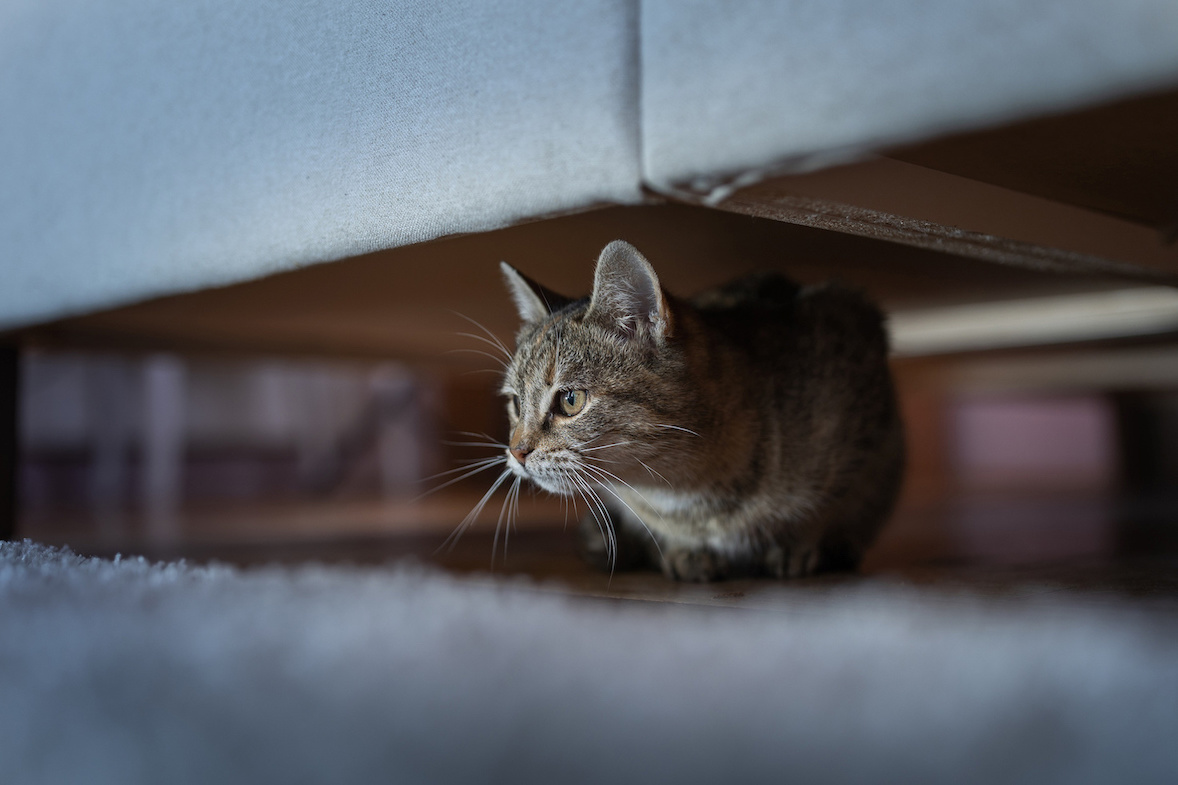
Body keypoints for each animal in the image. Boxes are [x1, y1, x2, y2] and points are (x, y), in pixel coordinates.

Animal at [494, 241, 899, 577]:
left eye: (570, 400)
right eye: (516, 402)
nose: (516, 451)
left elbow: (833, 501)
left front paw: (799, 543)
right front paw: (683, 551)